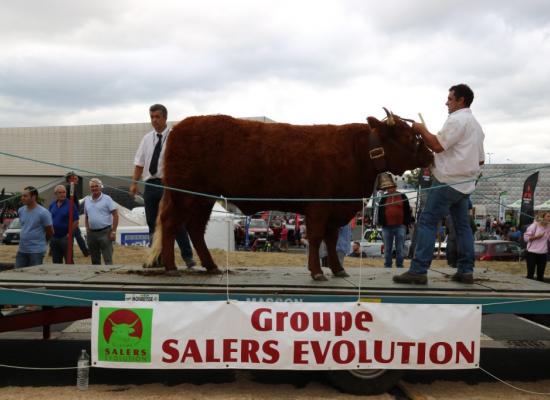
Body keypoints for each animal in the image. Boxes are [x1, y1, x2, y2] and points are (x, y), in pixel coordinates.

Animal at [148, 109, 436, 278]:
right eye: (409, 136)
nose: (430, 154)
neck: (357, 153)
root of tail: (181, 126)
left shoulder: (337, 208)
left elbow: (331, 240)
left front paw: (338, 270)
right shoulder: (320, 205)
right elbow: (317, 237)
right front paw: (317, 272)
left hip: (203, 198)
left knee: (195, 228)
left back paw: (210, 265)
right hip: (185, 194)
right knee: (172, 223)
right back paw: (171, 267)